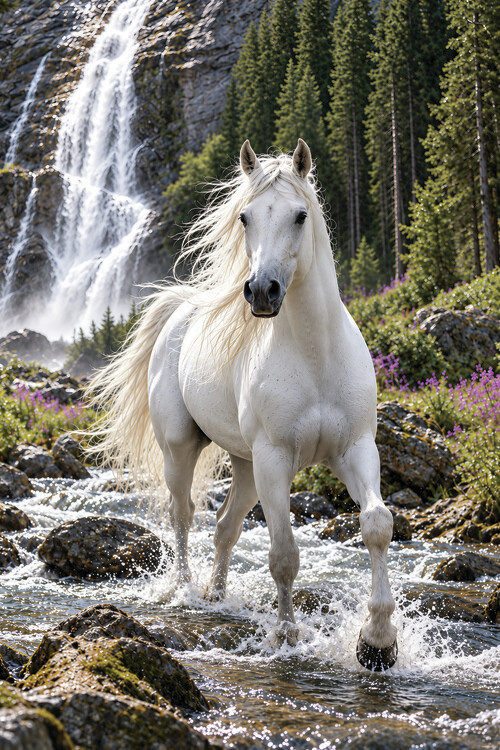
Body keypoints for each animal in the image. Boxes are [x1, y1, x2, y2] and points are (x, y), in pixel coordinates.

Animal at [90, 139, 398, 671]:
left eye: (299, 215)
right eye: (244, 217)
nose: (260, 292)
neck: (316, 354)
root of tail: (180, 310)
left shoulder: (356, 450)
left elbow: (376, 525)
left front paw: (377, 641)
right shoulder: (276, 459)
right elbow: (284, 554)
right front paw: (287, 636)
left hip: (247, 465)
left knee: (225, 526)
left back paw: (217, 595)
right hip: (184, 450)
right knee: (183, 514)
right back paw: (185, 591)